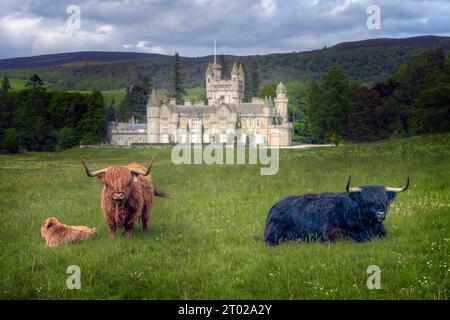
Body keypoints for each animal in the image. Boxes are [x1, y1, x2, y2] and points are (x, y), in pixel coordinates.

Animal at [262, 176, 410, 246]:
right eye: (366, 201)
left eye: (385, 201)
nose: (380, 214)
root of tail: (274, 206)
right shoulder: (330, 231)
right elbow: (349, 238)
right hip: (275, 233)